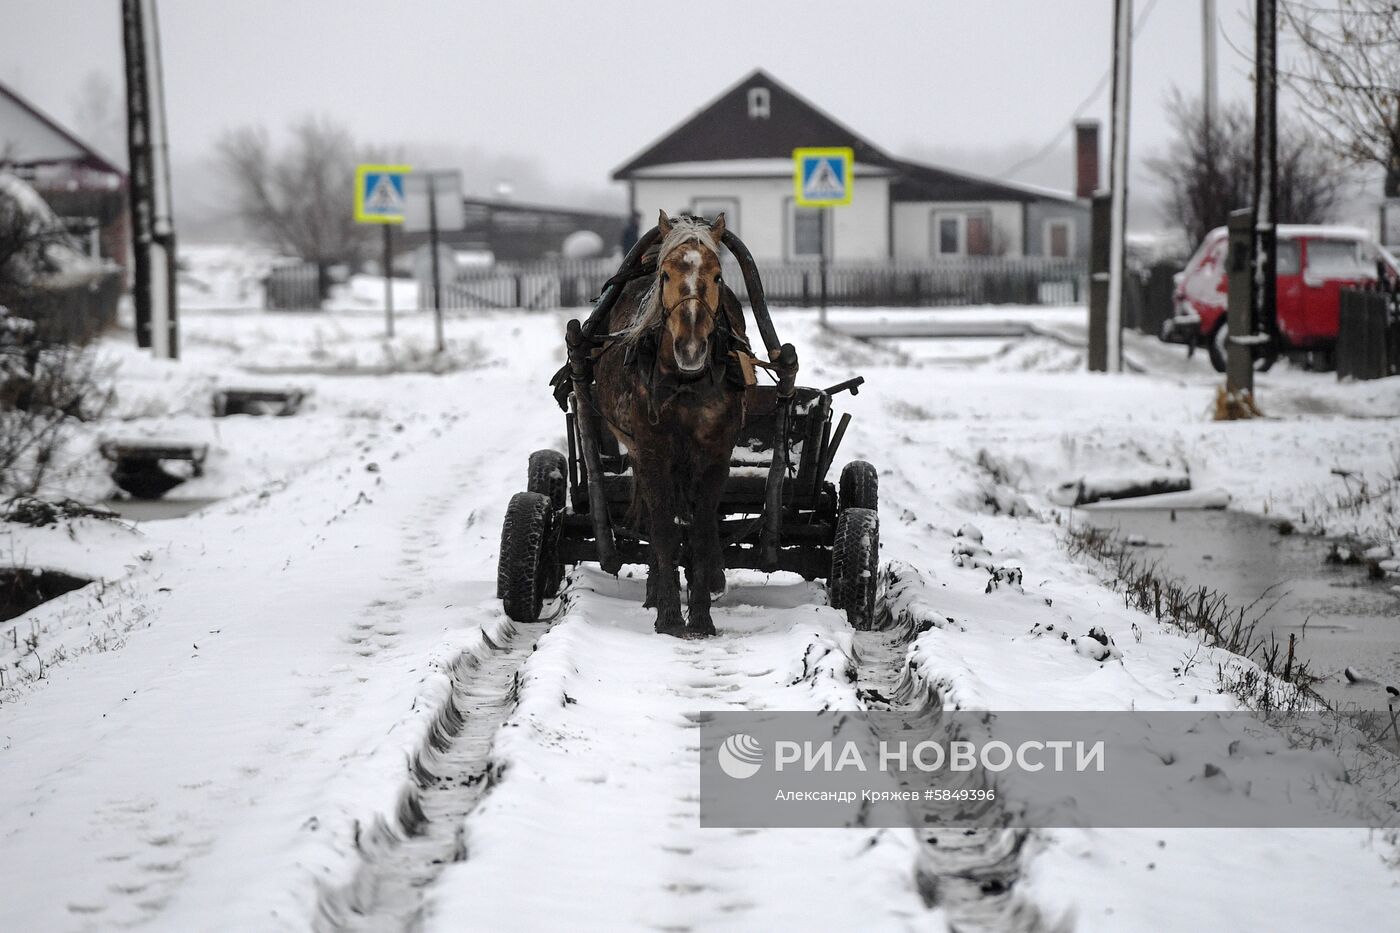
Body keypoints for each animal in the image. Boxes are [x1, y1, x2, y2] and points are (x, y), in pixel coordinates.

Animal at [590, 208, 750, 633]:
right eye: (666, 275)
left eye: (717, 276)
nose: (690, 348)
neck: (686, 382)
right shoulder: (652, 450)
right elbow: (663, 529)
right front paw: (668, 615)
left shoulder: (715, 455)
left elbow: (700, 530)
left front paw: (702, 614)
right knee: (653, 513)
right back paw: (653, 591)